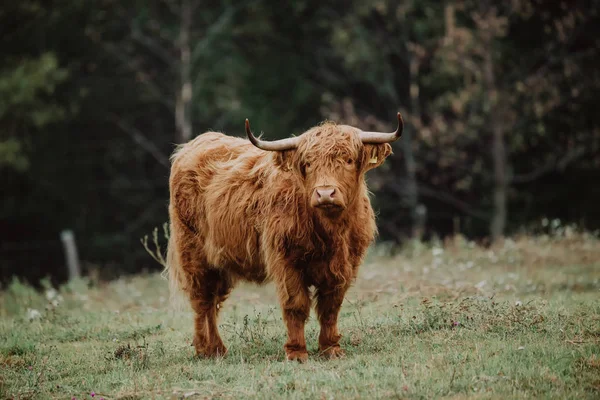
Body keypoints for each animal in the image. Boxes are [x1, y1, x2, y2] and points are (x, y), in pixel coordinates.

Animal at [165, 111, 404, 360]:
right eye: (308, 163)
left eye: (348, 160)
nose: (325, 193)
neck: (330, 231)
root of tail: (193, 145)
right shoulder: (286, 261)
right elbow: (295, 305)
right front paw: (296, 352)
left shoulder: (345, 265)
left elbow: (331, 306)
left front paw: (330, 348)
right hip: (193, 254)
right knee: (202, 300)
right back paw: (207, 349)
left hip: (221, 262)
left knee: (213, 301)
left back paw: (217, 348)